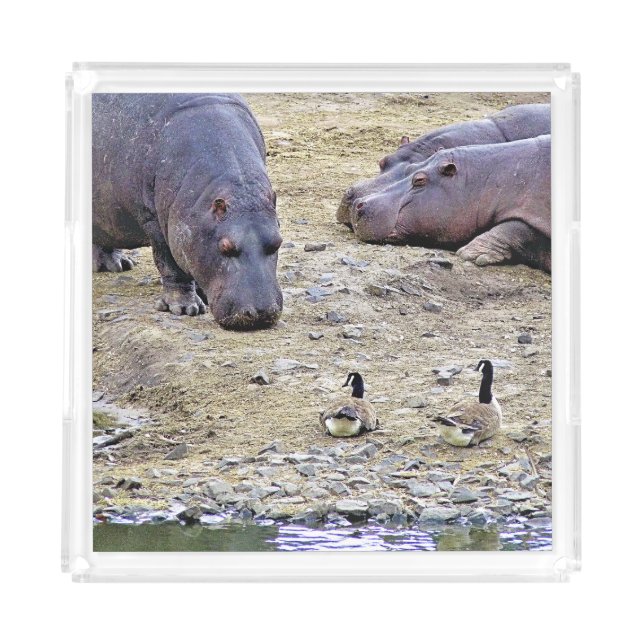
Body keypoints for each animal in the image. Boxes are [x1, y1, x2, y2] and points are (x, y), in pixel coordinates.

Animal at [92, 93, 283, 330]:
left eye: (278, 242)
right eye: (225, 246)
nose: (261, 313)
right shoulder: (156, 223)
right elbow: (170, 264)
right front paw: (185, 308)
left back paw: (117, 265)